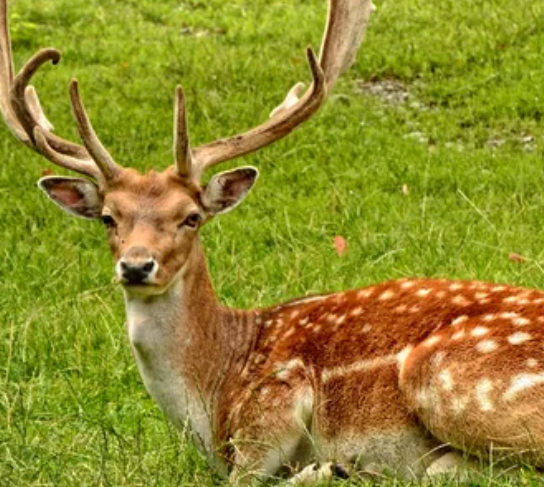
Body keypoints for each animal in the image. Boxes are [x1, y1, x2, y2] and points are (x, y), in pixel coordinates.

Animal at [3, 0, 544, 484]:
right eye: (108, 218)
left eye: (191, 217)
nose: (137, 266)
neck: (214, 392)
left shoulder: (274, 400)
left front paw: (329, 467)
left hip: (445, 377)